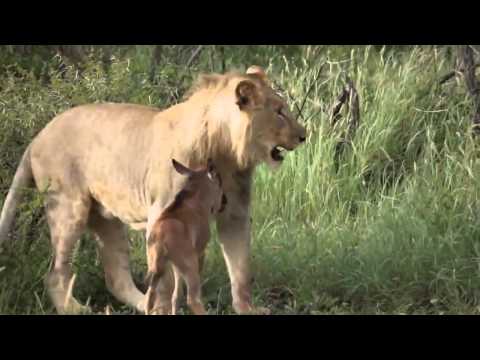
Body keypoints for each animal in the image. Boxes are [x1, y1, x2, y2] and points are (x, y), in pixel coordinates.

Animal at [0, 65, 308, 316]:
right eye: (279, 112)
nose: (304, 135)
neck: (225, 151)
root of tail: (38, 135)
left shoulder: (234, 212)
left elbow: (241, 267)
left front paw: (247, 309)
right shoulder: (162, 213)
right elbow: (168, 277)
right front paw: (165, 307)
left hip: (107, 219)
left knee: (117, 278)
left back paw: (140, 304)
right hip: (67, 208)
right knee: (56, 274)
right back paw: (75, 309)